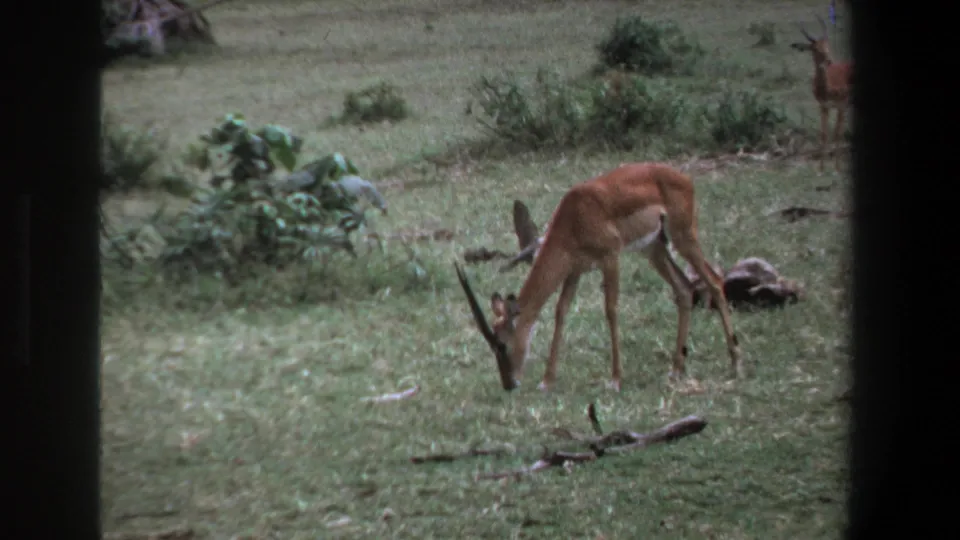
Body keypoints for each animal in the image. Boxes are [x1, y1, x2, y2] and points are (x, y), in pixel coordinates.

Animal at [454, 163, 742, 392]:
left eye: (501, 344)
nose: (509, 384)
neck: (574, 217)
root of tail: (684, 178)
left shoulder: (610, 258)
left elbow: (611, 310)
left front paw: (615, 380)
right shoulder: (574, 271)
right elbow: (561, 312)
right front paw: (547, 381)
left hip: (684, 237)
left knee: (714, 281)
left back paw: (735, 362)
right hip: (654, 249)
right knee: (683, 289)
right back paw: (676, 369)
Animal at [791, 15, 854, 173]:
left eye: (827, 44)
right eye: (815, 48)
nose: (829, 60)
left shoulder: (842, 106)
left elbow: (838, 134)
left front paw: (837, 168)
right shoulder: (824, 106)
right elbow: (824, 134)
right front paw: (821, 168)